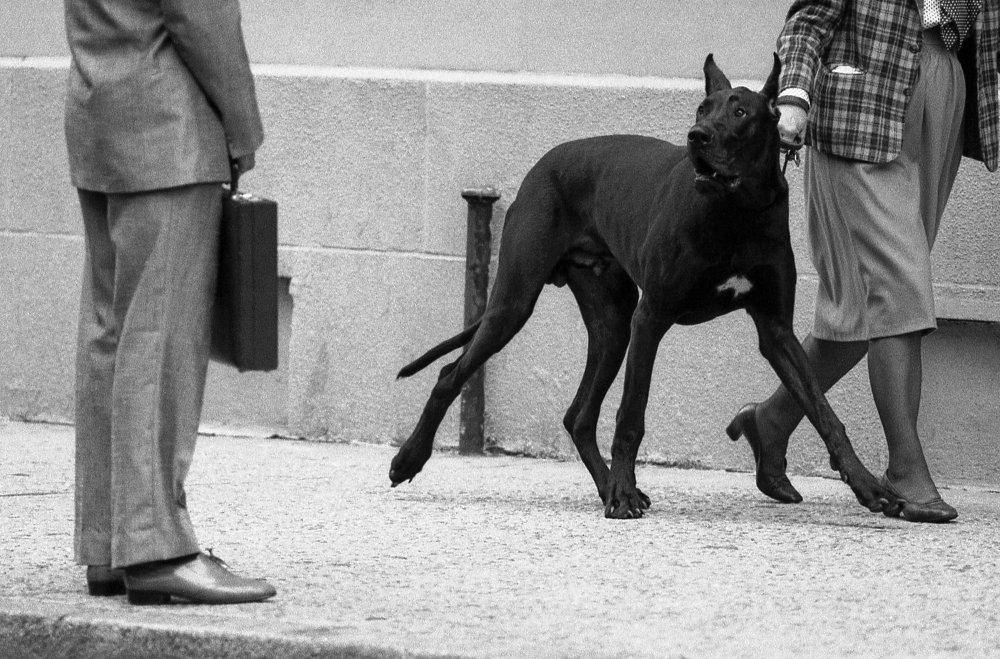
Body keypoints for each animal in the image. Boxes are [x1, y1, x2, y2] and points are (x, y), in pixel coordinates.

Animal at [389, 54, 896, 519]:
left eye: (740, 112)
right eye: (701, 108)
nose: (697, 136)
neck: (736, 209)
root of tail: (542, 164)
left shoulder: (776, 331)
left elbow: (824, 411)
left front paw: (872, 488)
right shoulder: (651, 318)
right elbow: (631, 415)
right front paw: (623, 494)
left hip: (612, 327)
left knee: (578, 416)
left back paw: (606, 486)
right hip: (515, 303)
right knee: (450, 375)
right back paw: (409, 459)